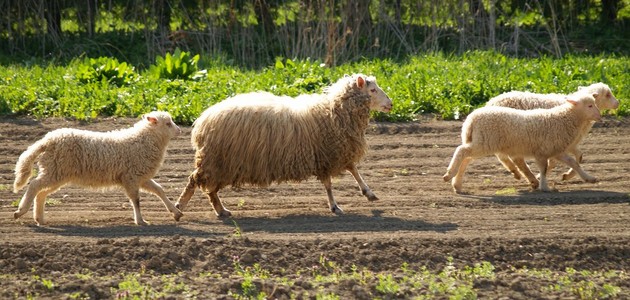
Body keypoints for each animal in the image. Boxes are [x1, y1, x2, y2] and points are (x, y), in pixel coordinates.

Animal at [12, 111, 184, 226]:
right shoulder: (131, 177)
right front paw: (140, 220)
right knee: (34, 185)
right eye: (168, 124)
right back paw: (21, 211)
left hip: (57, 172)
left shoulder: (140, 177)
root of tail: (48, 140)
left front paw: (176, 212)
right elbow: (136, 200)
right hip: (55, 170)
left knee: (41, 192)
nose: (180, 130)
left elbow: (159, 190)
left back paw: (39, 219)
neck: (143, 141)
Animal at [173, 74, 390, 217]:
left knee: (210, 189)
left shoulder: (334, 152)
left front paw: (368, 193)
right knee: (195, 180)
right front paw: (336, 205)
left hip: (221, 162)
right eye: (372, 90)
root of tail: (202, 121)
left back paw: (221, 210)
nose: (391, 104)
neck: (333, 112)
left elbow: (353, 169)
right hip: (216, 160)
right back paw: (179, 207)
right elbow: (332, 182)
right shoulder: (327, 154)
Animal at [444, 92, 604, 193]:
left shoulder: (556, 150)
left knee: (466, 158)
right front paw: (545, 187)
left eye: (595, 103)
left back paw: (457, 184)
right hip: (484, 142)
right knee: (461, 151)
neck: (564, 118)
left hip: (479, 141)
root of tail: (471, 119)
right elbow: (544, 169)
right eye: (590, 106)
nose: (600, 117)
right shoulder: (542, 152)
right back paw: (449, 174)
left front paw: (589, 178)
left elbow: (574, 163)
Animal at [488, 82, 624, 183]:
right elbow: (554, 161)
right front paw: (542, 175)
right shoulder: (557, 141)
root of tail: (491, 102)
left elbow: (579, 156)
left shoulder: (569, 142)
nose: (618, 103)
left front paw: (567, 175)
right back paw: (528, 177)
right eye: (607, 94)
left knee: (504, 156)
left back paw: (516, 172)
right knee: (513, 158)